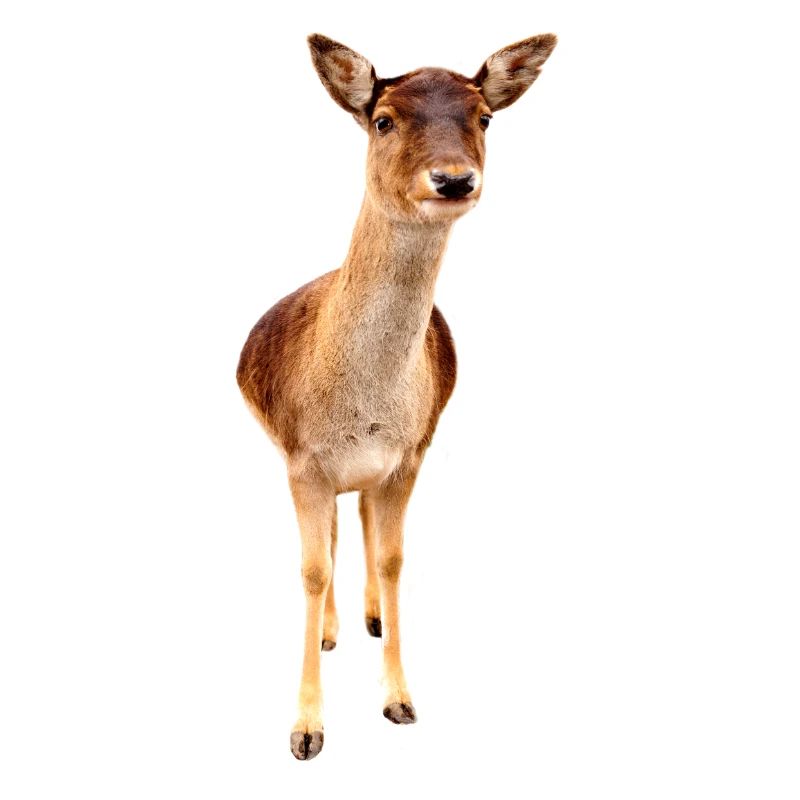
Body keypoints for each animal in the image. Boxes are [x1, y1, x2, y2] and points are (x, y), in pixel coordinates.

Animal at [236, 32, 557, 760]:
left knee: (355, 519)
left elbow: (392, 558)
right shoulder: (301, 459)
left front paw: (400, 699)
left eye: (484, 118)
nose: (454, 179)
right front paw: (306, 729)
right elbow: (310, 568)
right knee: (331, 533)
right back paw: (333, 630)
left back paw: (371, 617)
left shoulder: (410, 453)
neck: (365, 411)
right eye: (383, 119)